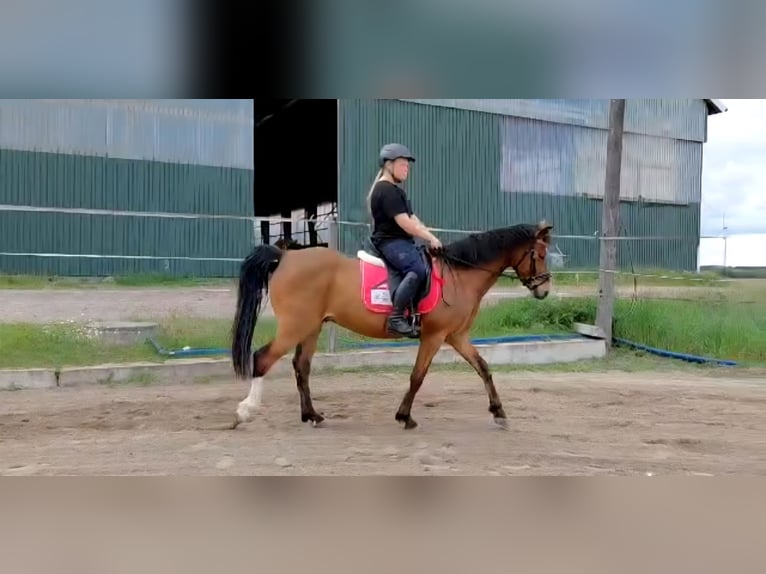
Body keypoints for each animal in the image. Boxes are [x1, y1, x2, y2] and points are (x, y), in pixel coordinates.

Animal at [229, 220, 554, 431]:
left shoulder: (457, 336)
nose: (544, 290)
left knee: (301, 367)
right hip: (295, 326)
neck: (459, 276)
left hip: (311, 328)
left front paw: (499, 412)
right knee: (262, 358)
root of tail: (285, 255)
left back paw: (312, 416)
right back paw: (245, 412)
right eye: (538, 254)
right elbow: (417, 377)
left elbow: (484, 368)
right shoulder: (435, 336)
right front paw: (404, 417)